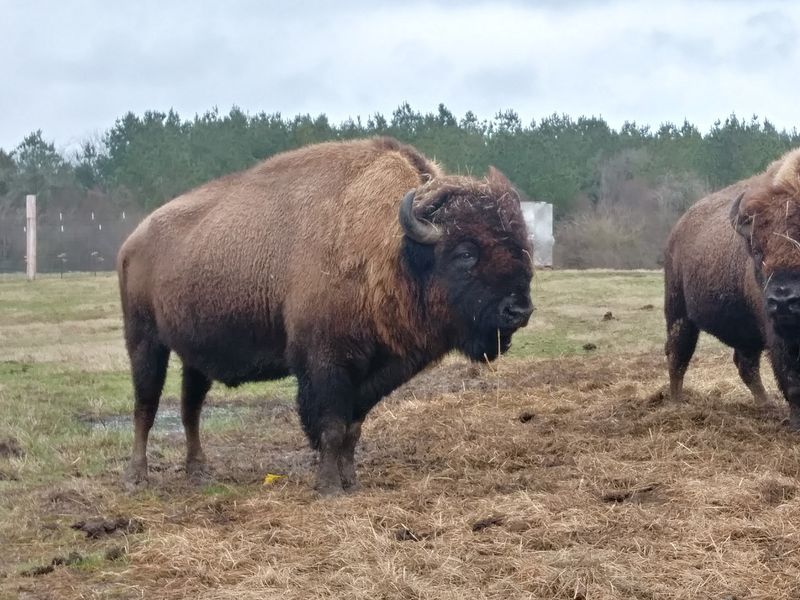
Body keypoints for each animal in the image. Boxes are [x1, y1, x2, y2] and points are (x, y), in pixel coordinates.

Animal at [117, 137, 534, 494]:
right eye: (465, 253)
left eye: (524, 247)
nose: (519, 310)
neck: (392, 247)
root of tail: (132, 241)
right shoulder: (326, 363)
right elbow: (331, 426)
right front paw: (330, 487)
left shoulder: (377, 371)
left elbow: (353, 428)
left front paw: (352, 482)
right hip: (145, 341)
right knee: (146, 405)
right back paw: (137, 476)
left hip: (194, 355)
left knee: (191, 408)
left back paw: (199, 471)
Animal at [664, 148, 800, 428]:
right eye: (758, 252)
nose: (783, 301)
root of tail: (678, 229)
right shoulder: (779, 336)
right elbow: (792, 381)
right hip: (679, 312)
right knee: (678, 356)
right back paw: (676, 403)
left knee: (745, 364)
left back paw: (766, 404)